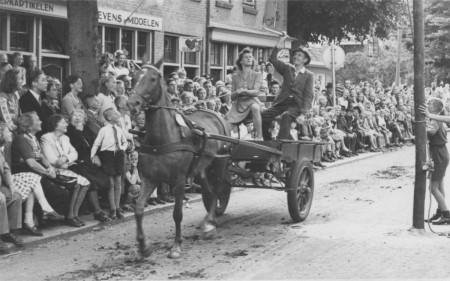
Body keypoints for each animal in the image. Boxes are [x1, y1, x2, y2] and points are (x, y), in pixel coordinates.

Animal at [127, 63, 230, 258]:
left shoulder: (180, 180)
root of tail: (216, 113)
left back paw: (210, 223)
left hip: (220, 162)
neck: (163, 138)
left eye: (153, 78)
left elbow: (177, 213)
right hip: (201, 167)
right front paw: (144, 246)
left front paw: (176, 246)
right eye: (133, 77)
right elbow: (138, 209)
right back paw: (209, 220)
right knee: (209, 190)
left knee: (218, 189)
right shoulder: (149, 178)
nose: (132, 103)